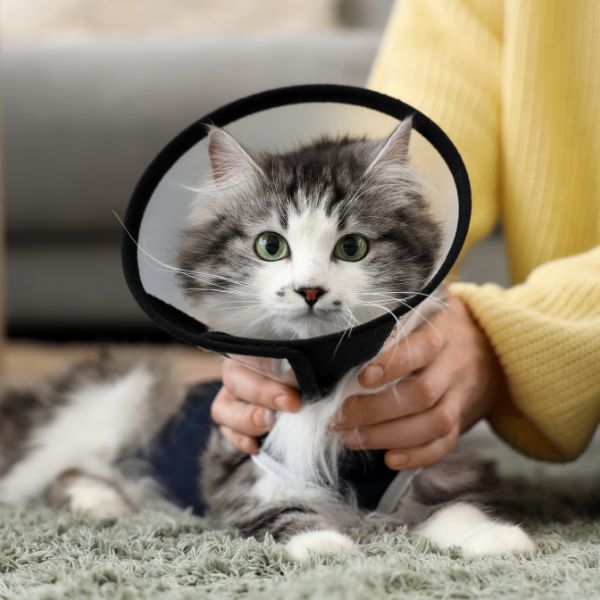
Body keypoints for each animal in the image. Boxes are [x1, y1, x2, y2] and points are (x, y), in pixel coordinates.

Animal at [0, 119, 536, 560]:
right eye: (271, 246)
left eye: (352, 248)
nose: (310, 290)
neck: (326, 386)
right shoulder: (243, 472)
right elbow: (289, 515)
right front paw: (329, 548)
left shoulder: (433, 460)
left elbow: (458, 507)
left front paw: (497, 540)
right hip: (116, 404)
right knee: (59, 472)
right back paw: (101, 505)